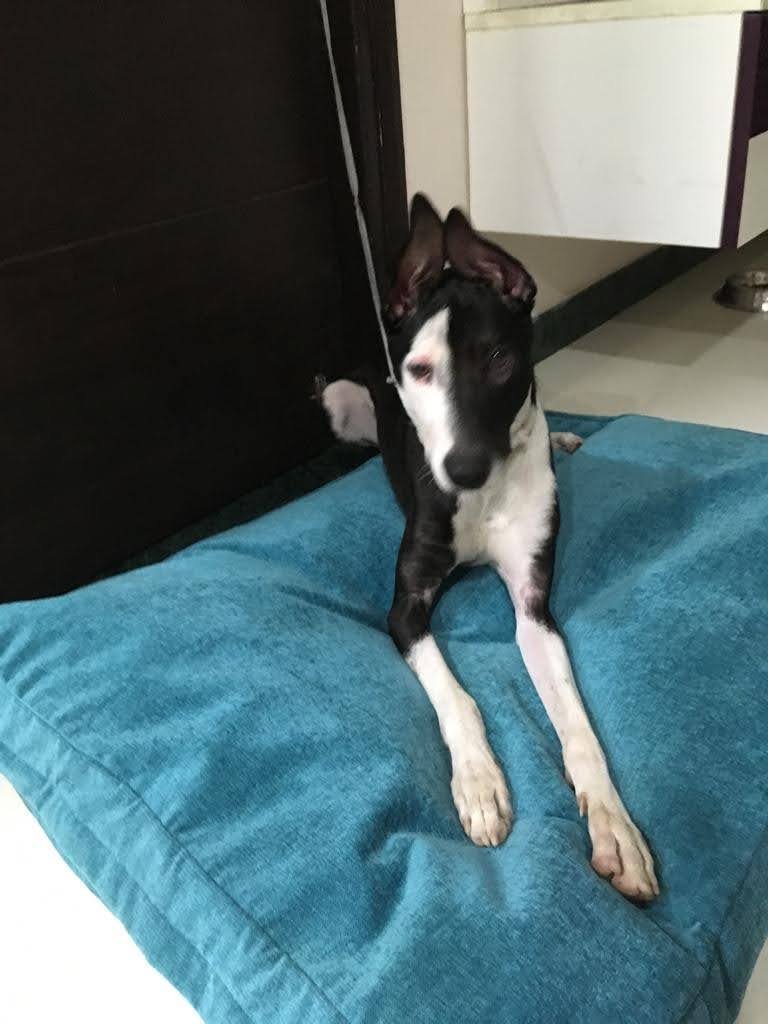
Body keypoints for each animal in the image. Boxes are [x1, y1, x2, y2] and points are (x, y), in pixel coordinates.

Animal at [319, 195, 658, 902]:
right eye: (420, 370)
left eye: (501, 358)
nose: (465, 469)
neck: (487, 495)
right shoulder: (405, 607)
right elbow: (457, 697)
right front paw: (478, 783)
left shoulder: (534, 609)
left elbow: (578, 727)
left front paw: (614, 827)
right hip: (340, 400)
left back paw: (560, 439)